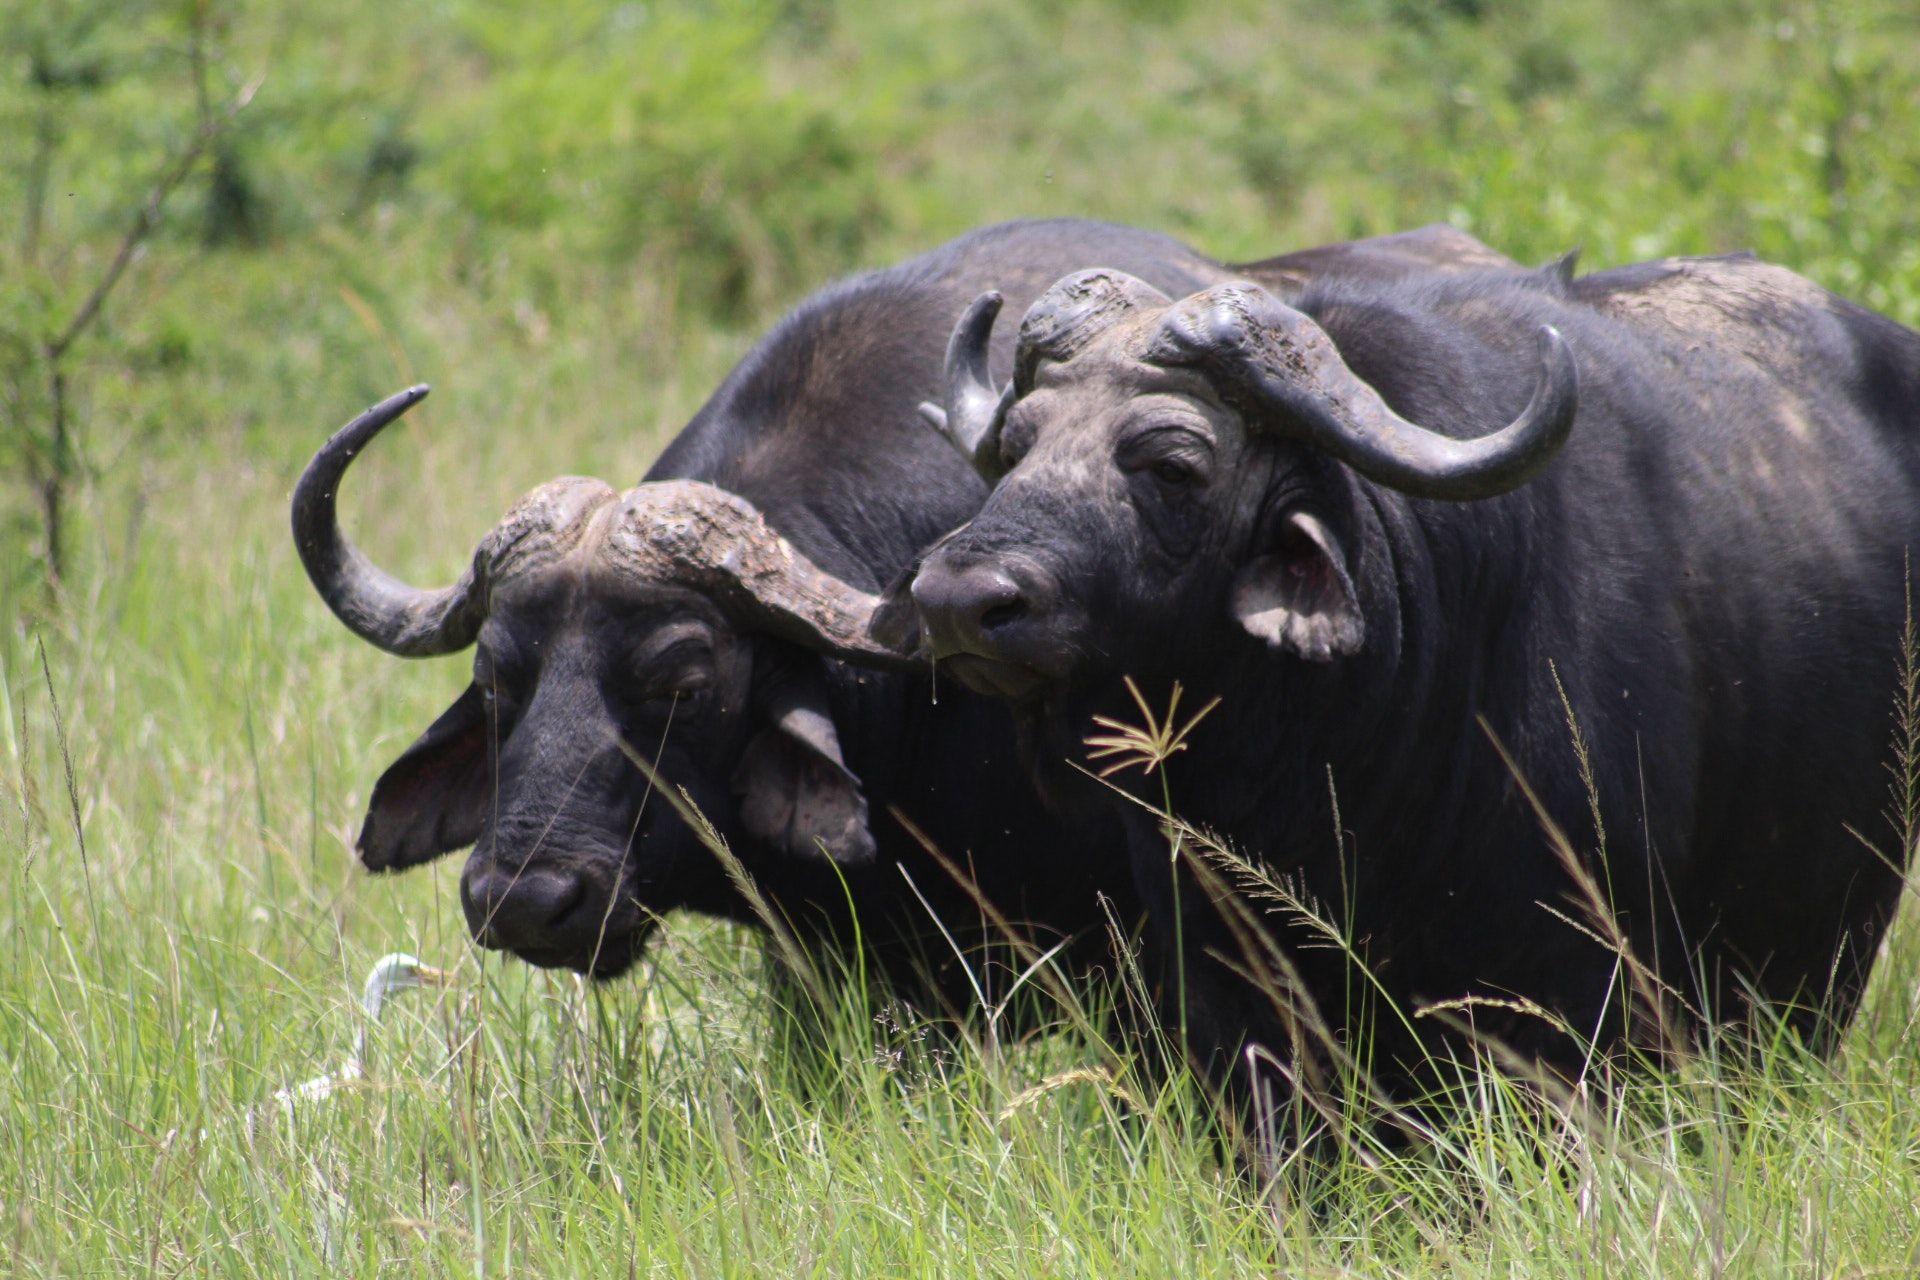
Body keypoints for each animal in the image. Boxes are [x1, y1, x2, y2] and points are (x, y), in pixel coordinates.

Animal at [891, 250, 1920, 1108]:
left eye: (1173, 464)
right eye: (1016, 446)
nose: (956, 599)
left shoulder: (1572, 986)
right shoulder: (1226, 975)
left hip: (1827, 943)